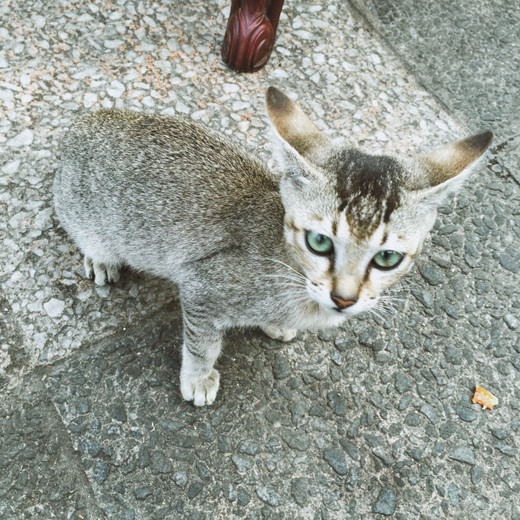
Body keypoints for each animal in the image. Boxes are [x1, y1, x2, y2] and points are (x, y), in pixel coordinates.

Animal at [53, 86, 496, 406]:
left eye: (387, 257)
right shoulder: (202, 285)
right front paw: (198, 377)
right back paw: (101, 261)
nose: (345, 298)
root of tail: (82, 123)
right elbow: (202, 344)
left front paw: (274, 324)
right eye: (319, 241)